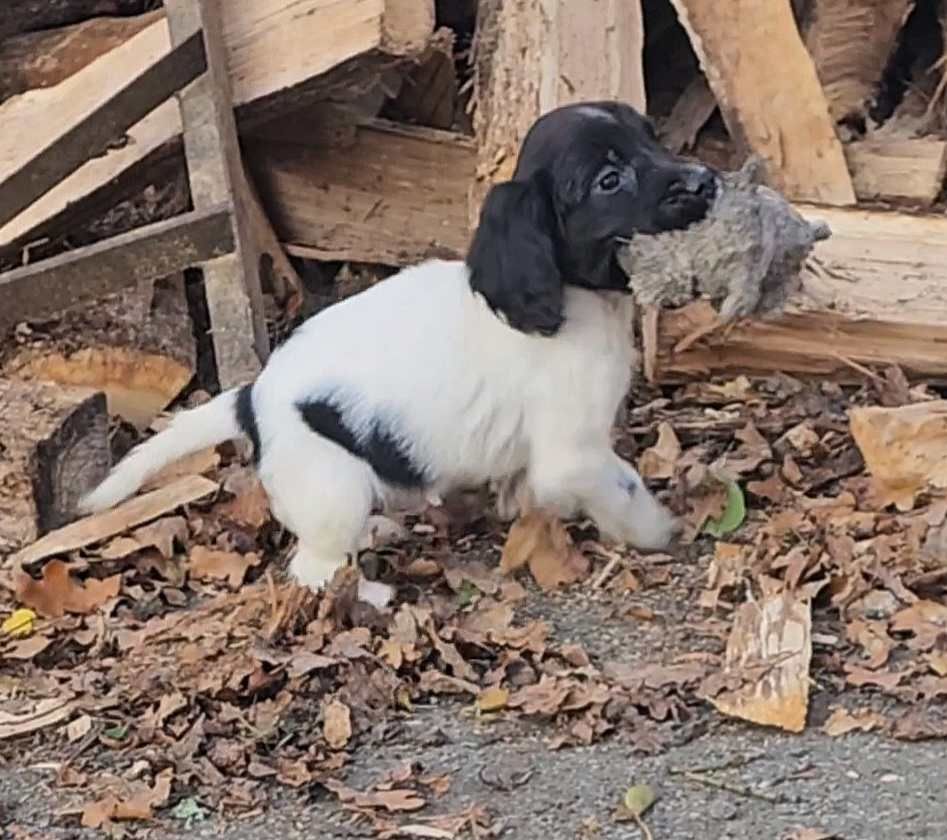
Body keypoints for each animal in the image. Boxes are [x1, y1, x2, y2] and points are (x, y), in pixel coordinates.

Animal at [81, 101, 720, 608]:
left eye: (650, 137)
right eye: (609, 180)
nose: (707, 180)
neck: (573, 300)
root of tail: (250, 399)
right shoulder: (574, 451)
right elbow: (621, 483)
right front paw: (657, 530)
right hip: (333, 489)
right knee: (312, 570)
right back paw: (369, 596)